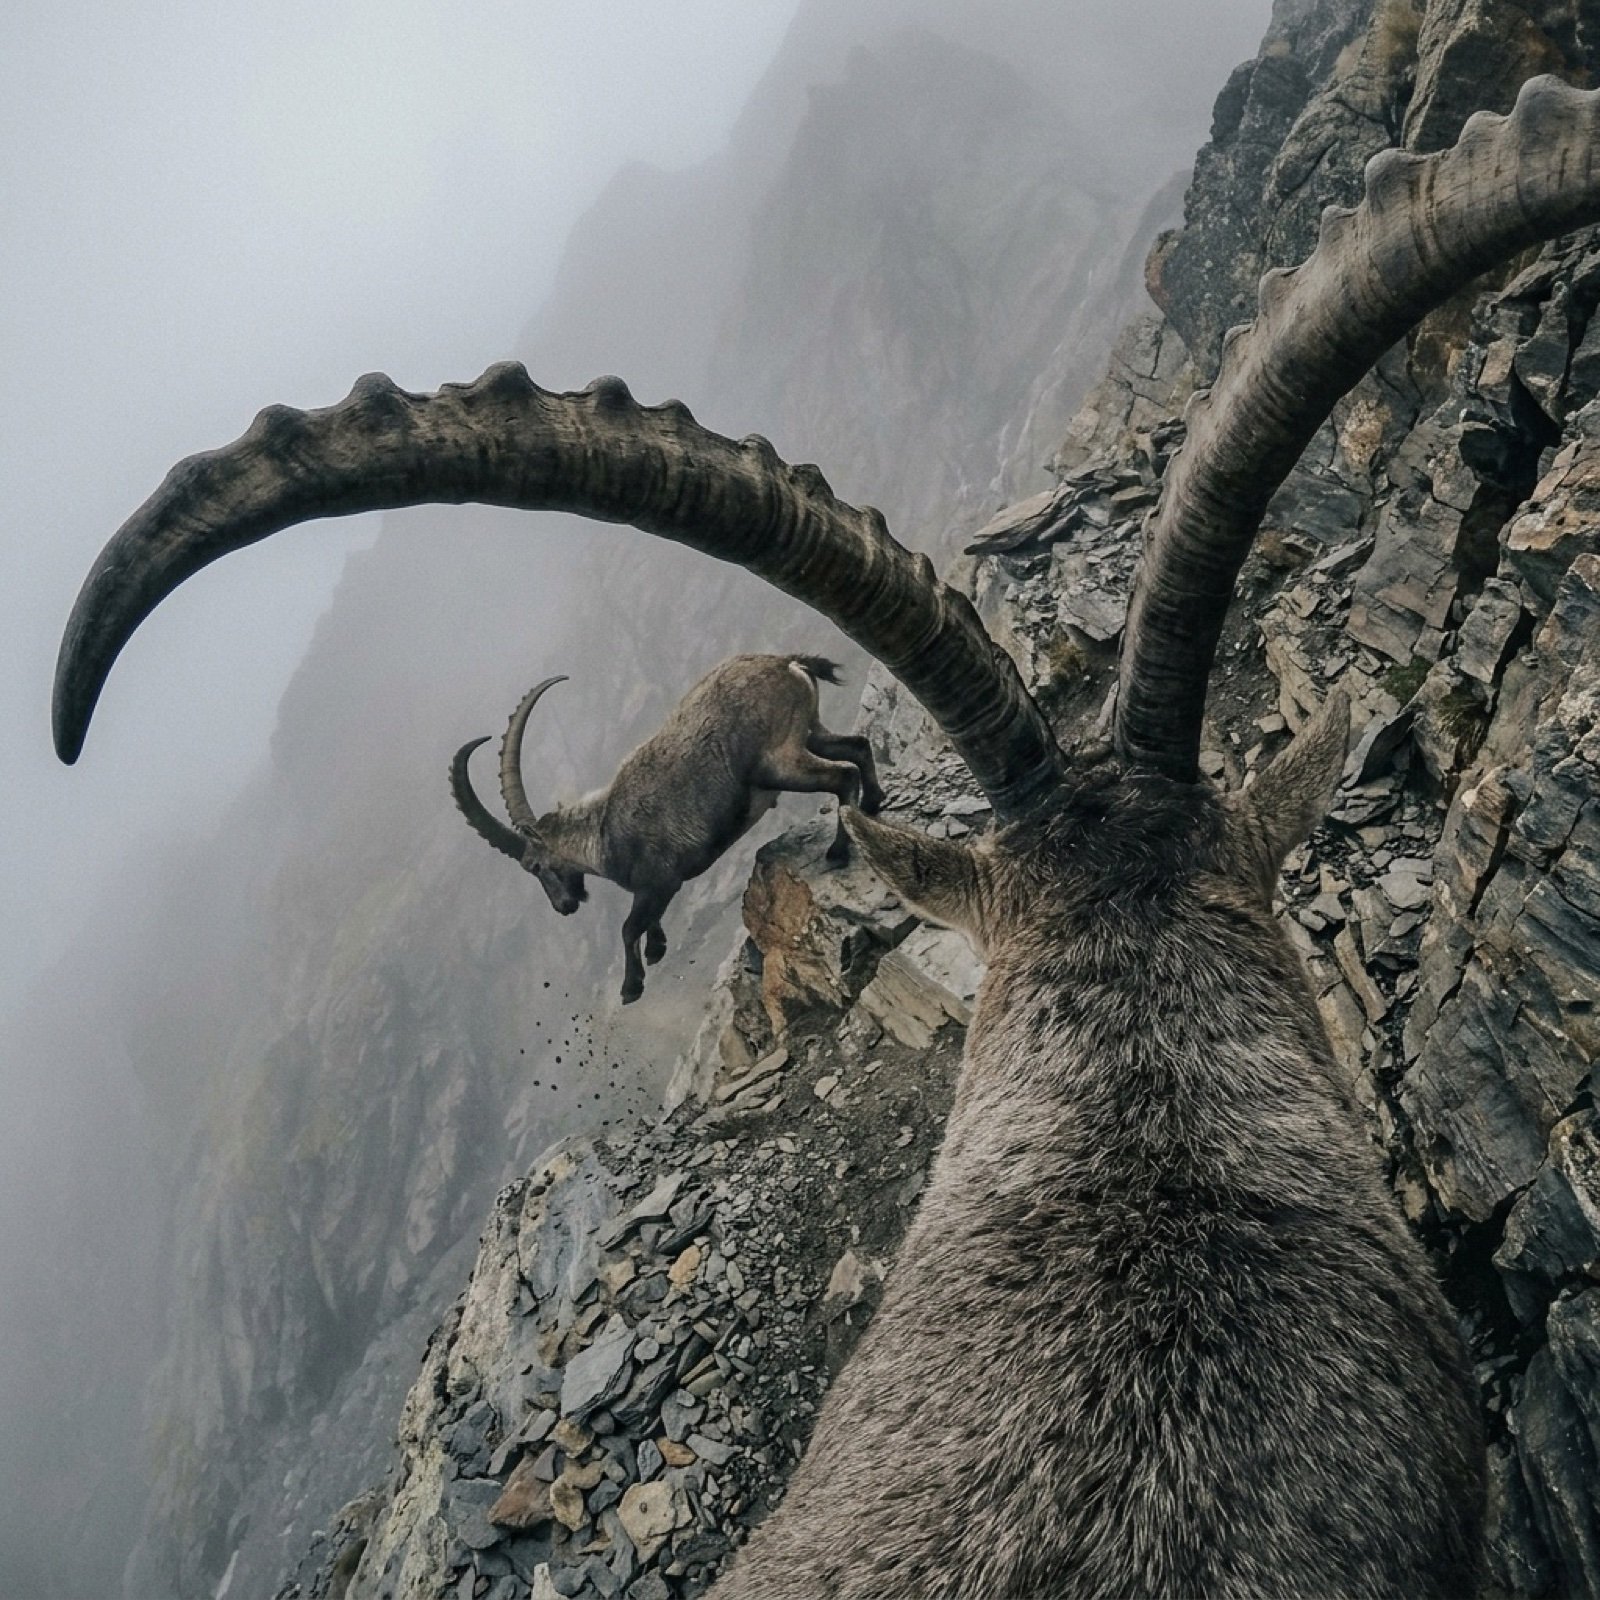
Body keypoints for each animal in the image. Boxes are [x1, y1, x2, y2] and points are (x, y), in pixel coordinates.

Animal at [448, 654, 882, 1001]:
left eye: (534, 866)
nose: (563, 906)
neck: (602, 833)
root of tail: (786, 662)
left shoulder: (659, 881)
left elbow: (627, 928)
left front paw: (631, 986)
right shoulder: (656, 890)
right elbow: (645, 923)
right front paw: (656, 947)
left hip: (779, 760)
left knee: (842, 775)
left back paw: (839, 851)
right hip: (811, 732)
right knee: (857, 747)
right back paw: (874, 805)